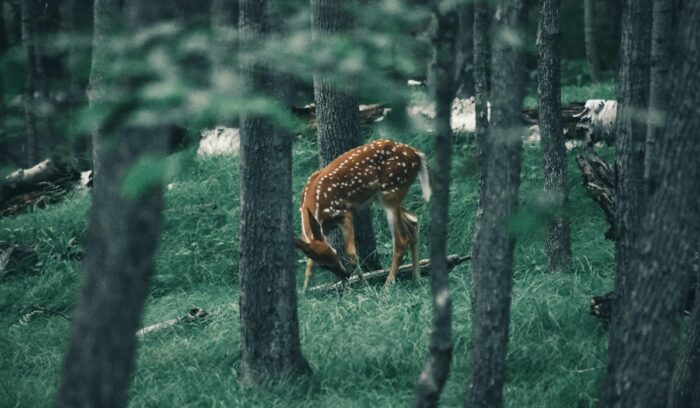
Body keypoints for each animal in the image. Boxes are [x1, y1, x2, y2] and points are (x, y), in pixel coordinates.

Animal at [294, 139, 431, 291]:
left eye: (334, 251)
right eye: (323, 265)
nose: (345, 274)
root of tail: (417, 154)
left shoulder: (345, 213)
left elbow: (351, 253)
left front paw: (365, 285)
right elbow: (309, 266)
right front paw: (304, 291)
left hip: (392, 189)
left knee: (401, 240)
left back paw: (387, 285)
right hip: (387, 196)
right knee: (412, 220)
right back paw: (416, 278)